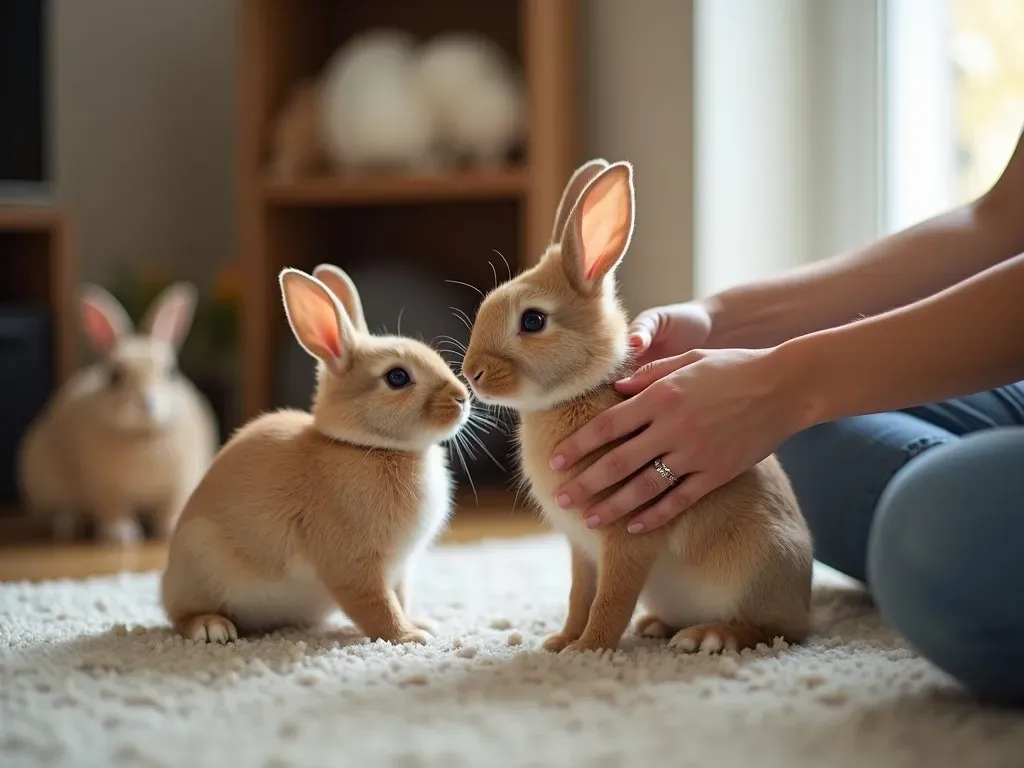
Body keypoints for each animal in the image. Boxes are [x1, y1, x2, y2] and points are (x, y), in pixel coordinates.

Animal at [18, 282, 218, 548]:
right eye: (114, 377)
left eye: (171, 372)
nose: (146, 402)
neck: (142, 437)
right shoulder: (107, 488)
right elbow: (114, 511)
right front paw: (120, 536)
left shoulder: (178, 485)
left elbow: (170, 509)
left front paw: (169, 530)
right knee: (63, 511)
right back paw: (69, 527)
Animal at [160, 264, 471, 643]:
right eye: (397, 377)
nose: (462, 398)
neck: (365, 445)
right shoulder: (354, 567)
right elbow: (379, 606)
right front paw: (409, 638)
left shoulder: (399, 570)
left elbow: (400, 598)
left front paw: (422, 625)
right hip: (199, 561)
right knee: (181, 616)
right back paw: (212, 628)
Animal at [460, 160, 811, 655]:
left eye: (532, 320)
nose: (471, 373)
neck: (580, 392)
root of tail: (805, 603)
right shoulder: (582, 549)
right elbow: (580, 594)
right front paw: (560, 642)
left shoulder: (627, 537)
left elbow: (612, 598)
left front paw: (588, 650)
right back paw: (657, 627)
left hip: (757, 572)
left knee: (773, 632)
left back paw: (709, 637)